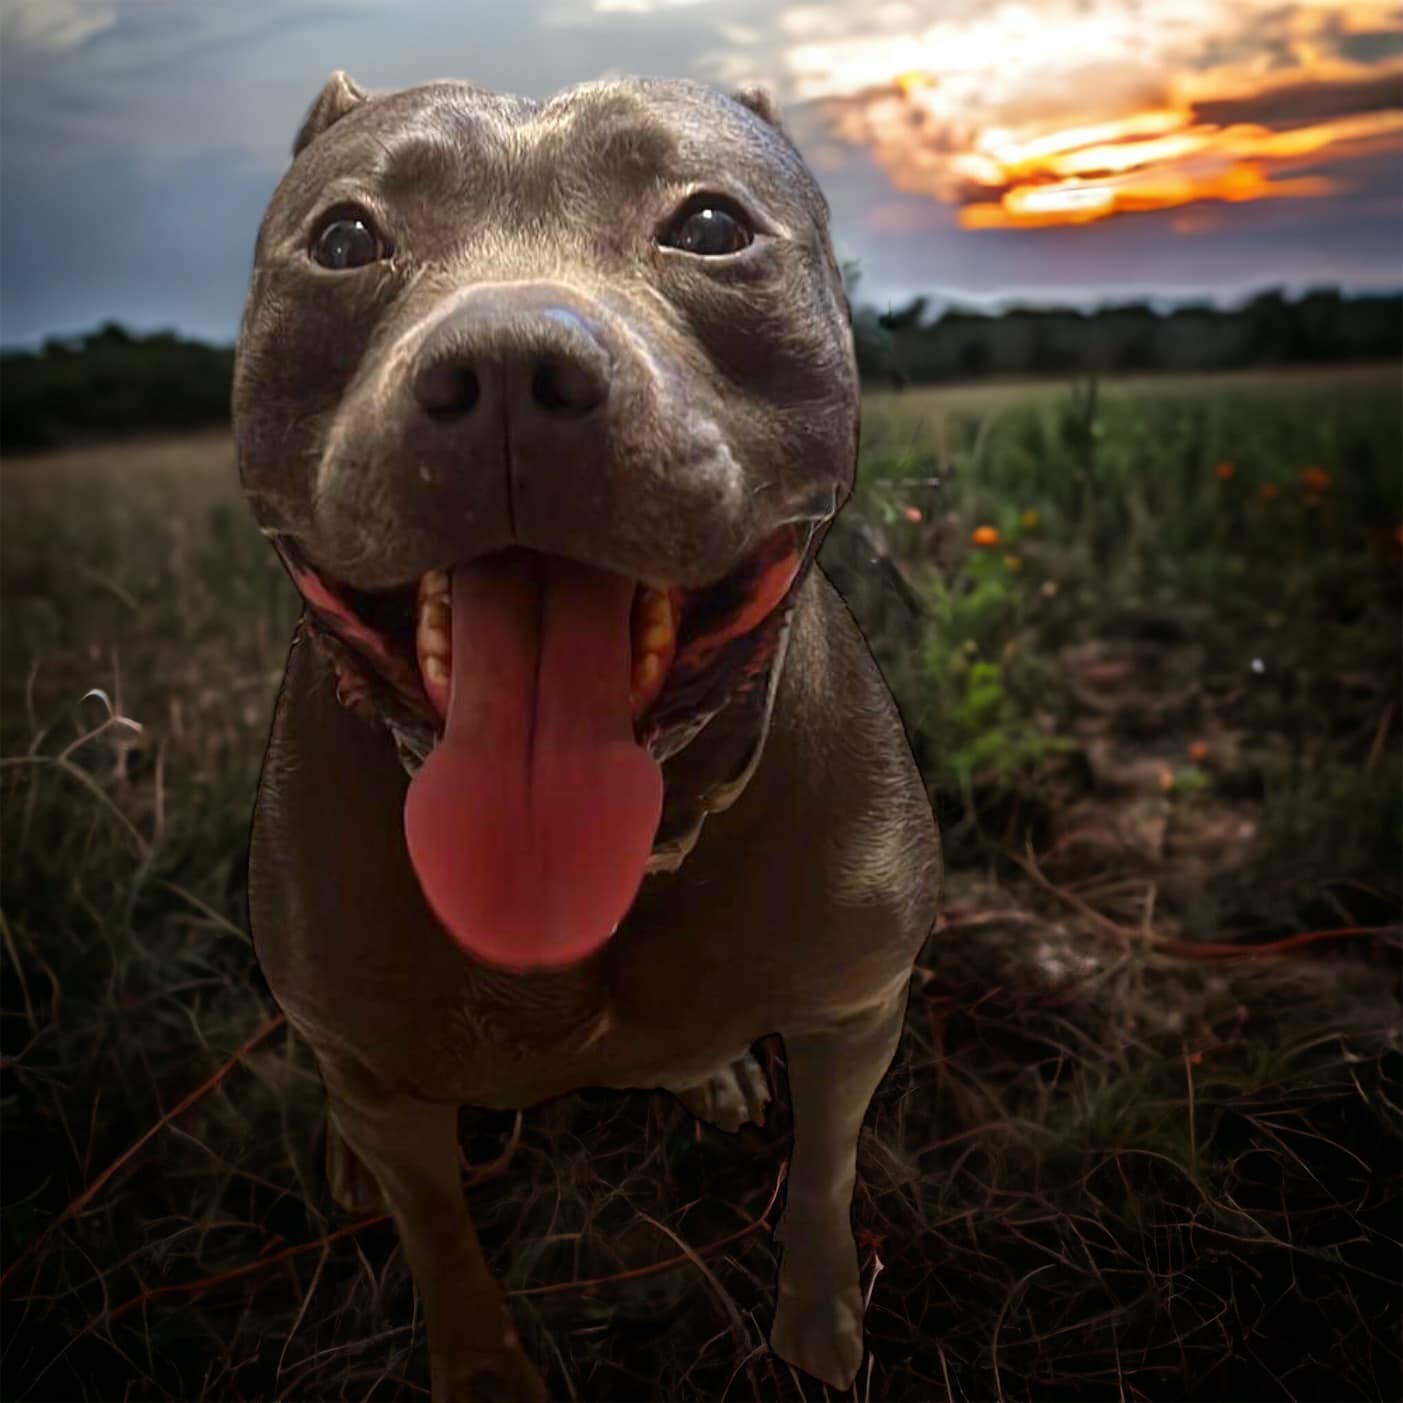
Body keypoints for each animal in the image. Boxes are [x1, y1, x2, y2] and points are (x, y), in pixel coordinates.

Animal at [232, 76, 942, 1403]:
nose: (508, 365)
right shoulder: (392, 1095)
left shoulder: (856, 1010)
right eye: (344, 239)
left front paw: (817, 1328)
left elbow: (823, 1177)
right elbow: (441, 1240)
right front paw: (483, 1370)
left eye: (711, 226)